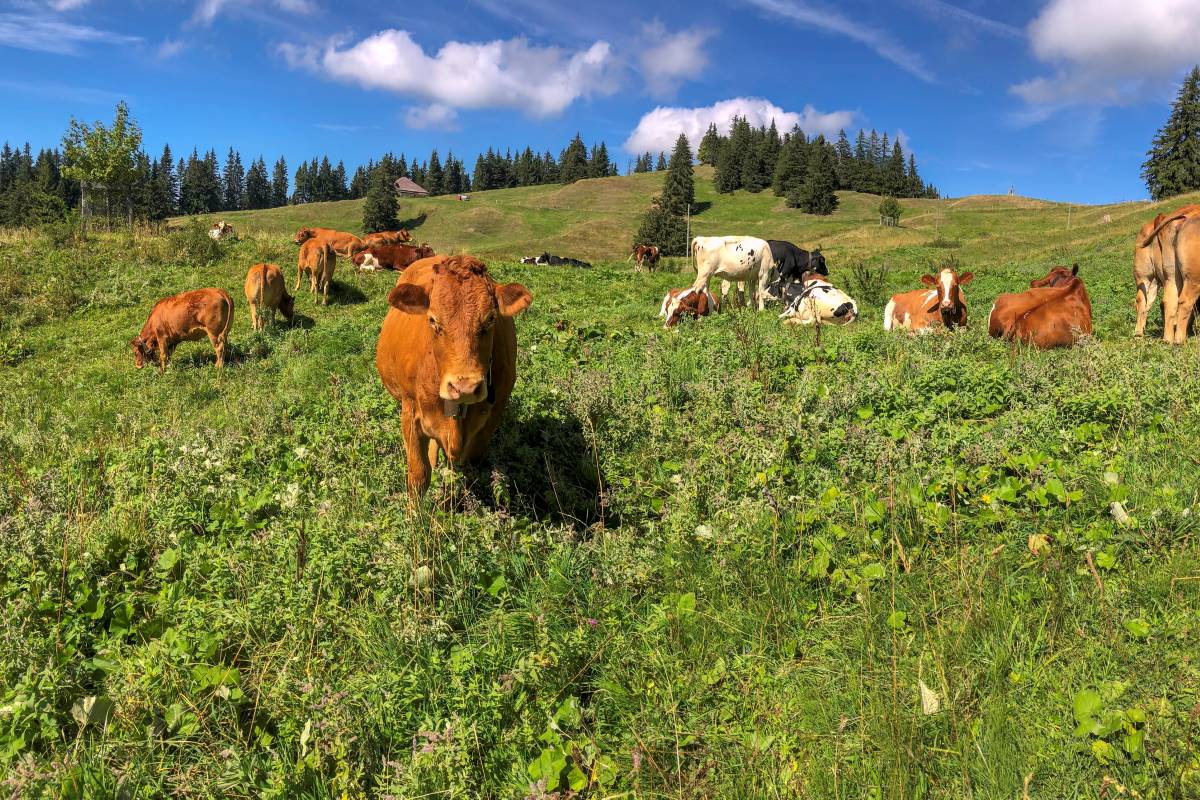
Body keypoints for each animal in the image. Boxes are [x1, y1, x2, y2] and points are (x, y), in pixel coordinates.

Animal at [375, 255, 533, 500]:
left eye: (490, 319)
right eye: (433, 320)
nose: (465, 387)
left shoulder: (489, 423)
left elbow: (463, 474)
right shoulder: (410, 414)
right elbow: (418, 477)